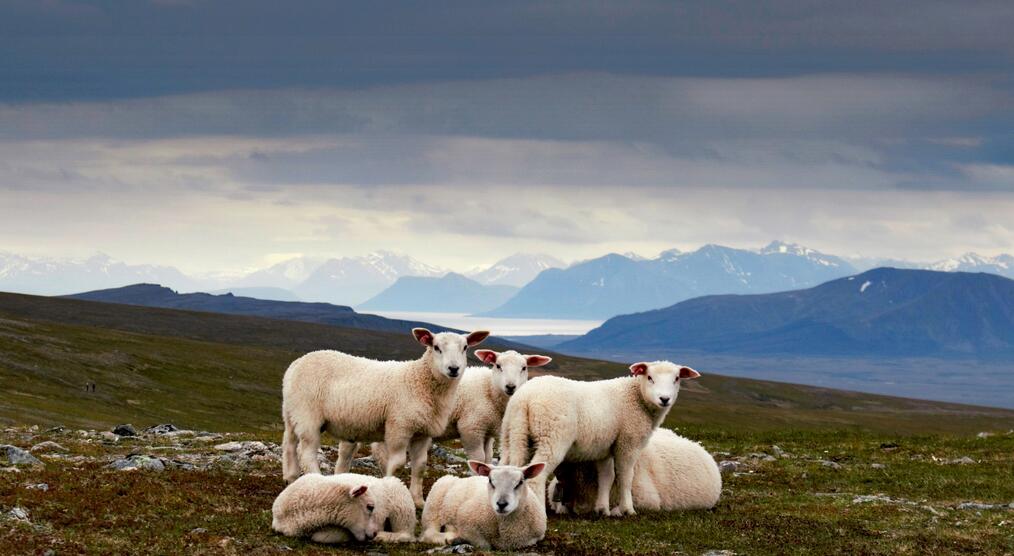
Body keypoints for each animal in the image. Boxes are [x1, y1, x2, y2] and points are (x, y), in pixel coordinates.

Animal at [279, 326, 488, 507]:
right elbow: (397, 464)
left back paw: (291, 478)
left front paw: (418, 501)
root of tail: (296, 364)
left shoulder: (422, 432)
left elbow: (420, 466)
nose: (453, 368)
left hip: (291, 412)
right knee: (306, 452)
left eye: (465, 347)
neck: (420, 380)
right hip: (308, 415)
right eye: (436, 347)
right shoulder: (399, 426)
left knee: (289, 444)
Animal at [371, 349, 551, 466]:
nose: (511, 387)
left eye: (524, 367)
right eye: (498, 365)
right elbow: (478, 458)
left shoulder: (487, 431)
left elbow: (488, 458)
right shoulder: (471, 427)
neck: (489, 389)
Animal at [419, 458, 547, 547]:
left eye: (520, 482)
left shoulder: (535, 538)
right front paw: (456, 537)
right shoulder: (466, 523)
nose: (501, 504)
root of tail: (458, 478)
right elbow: (484, 544)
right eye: (490, 481)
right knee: (429, 533)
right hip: (432, 507)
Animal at [496, 361, 697, 517]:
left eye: (677, 379)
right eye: (649, 377)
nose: (665, 399)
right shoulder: (628, 442)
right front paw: (628, 509)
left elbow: (607, 477)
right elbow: (625, 476)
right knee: (538, 477)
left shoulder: (604, 448)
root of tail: (525, 398)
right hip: (552, 437)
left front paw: (602, 509)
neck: (637, 398)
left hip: (512, 434)